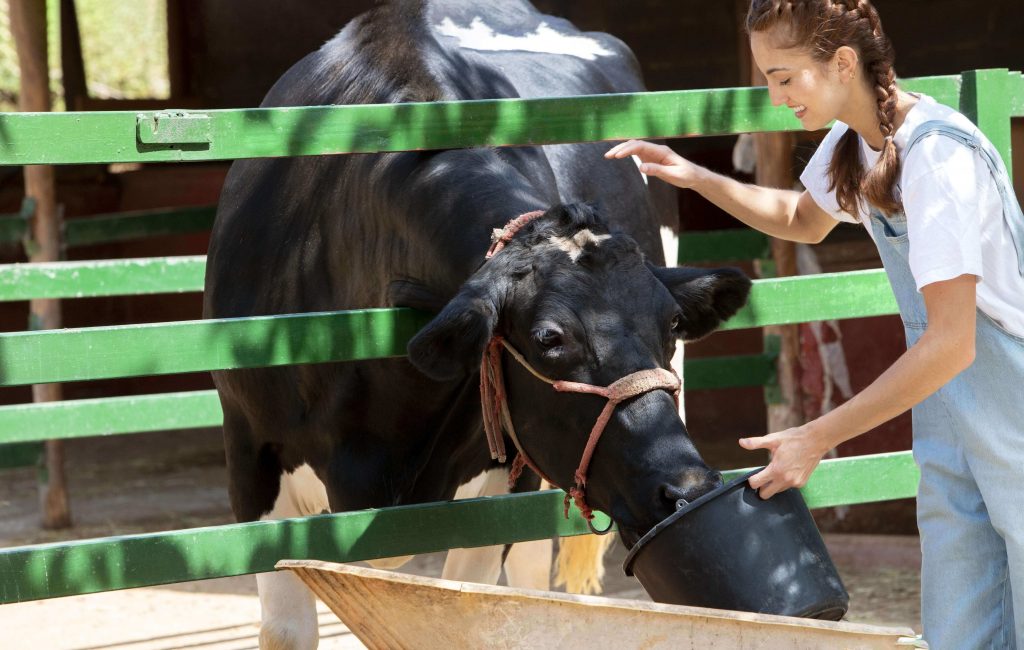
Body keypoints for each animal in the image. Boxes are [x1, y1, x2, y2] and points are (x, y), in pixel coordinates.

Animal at [205, 2, 753, 646]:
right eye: (549, 339)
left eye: (670, 324)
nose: (687, 489)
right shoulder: (249, 454)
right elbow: (288, 629)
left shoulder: (499, 481)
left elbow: (468, 603)